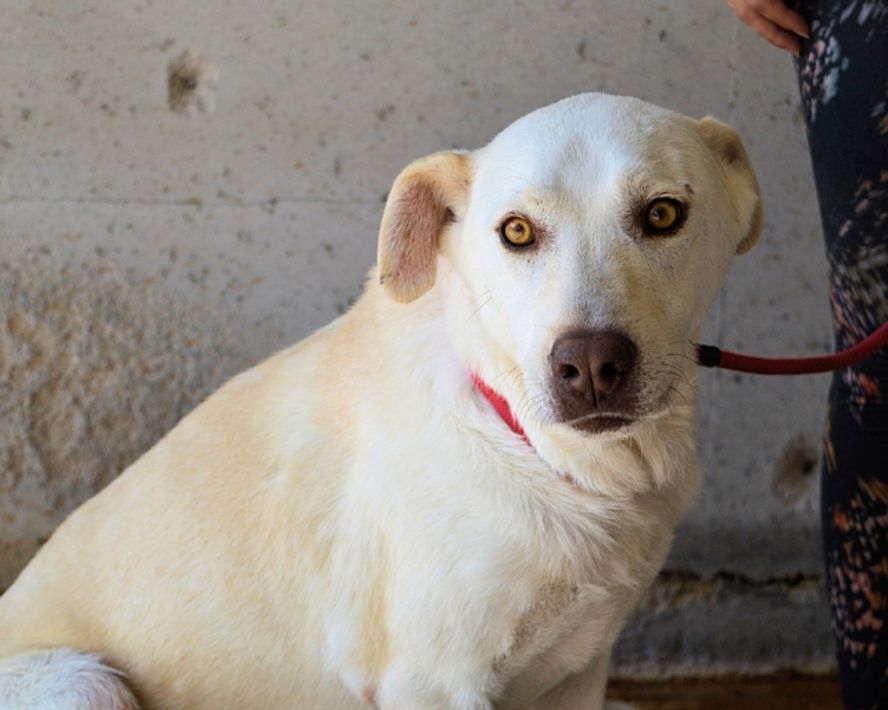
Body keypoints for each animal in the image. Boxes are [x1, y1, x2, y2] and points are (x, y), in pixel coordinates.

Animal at [0, 92, 761, 709]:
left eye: (662, 214)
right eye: (516, 231)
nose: (591, 365)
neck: (555, 459)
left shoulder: (579, 671)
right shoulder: (433, 684)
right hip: (86, 681)